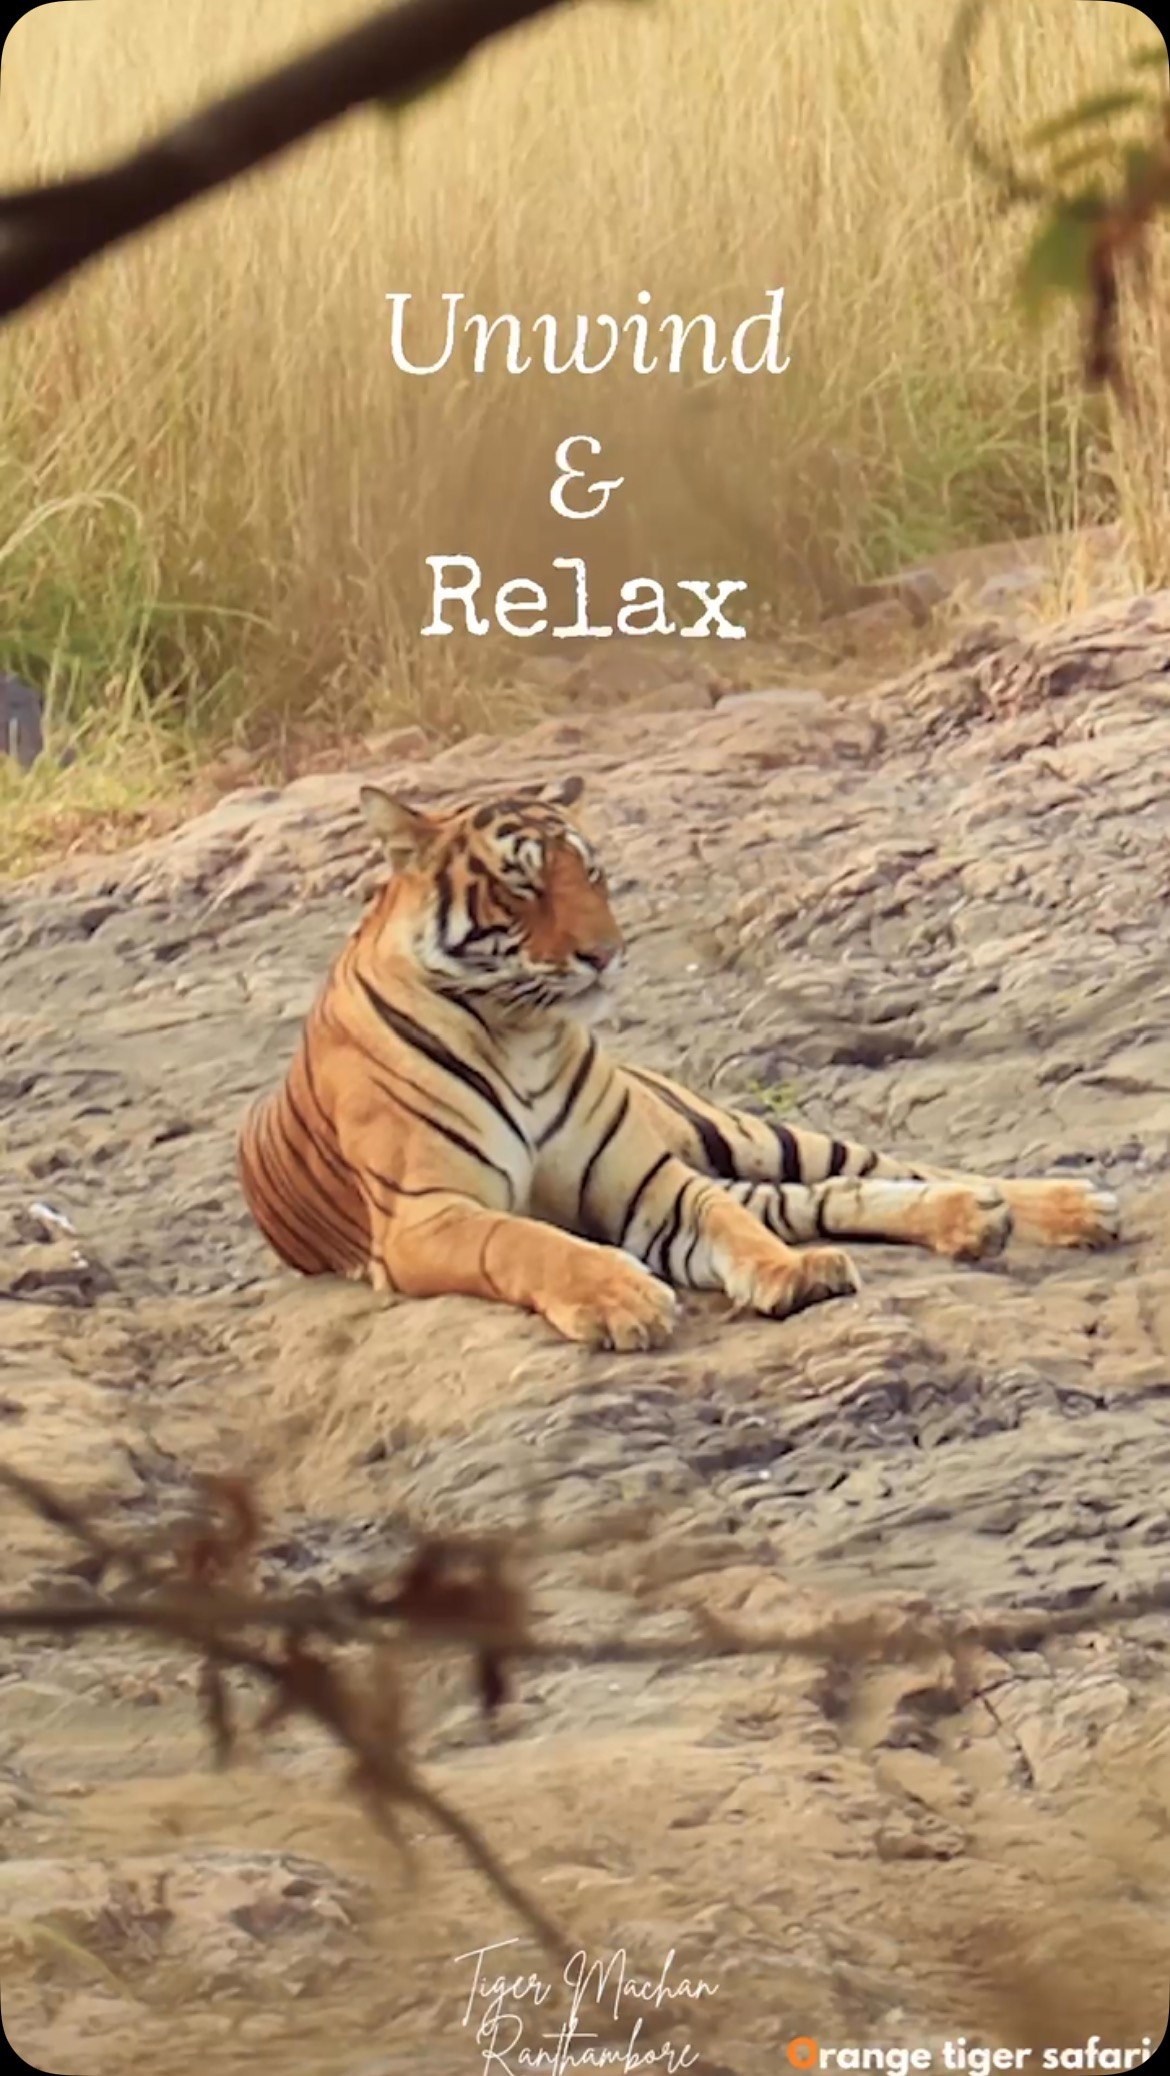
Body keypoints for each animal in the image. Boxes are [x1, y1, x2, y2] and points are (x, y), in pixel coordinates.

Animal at [236, 775, 1122, 1351]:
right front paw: (622, 1296)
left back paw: (1062, 1206)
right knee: (821, 1196)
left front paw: (790, 1275)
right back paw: (975, 1218)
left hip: (742, 1133)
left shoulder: (647, 1181)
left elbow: (724, 1220)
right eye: (522, 885)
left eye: (591, 872)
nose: (607, 954)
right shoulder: (427, 1215)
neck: (521, 1031)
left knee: (877, 1167)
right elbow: (530, 1242)